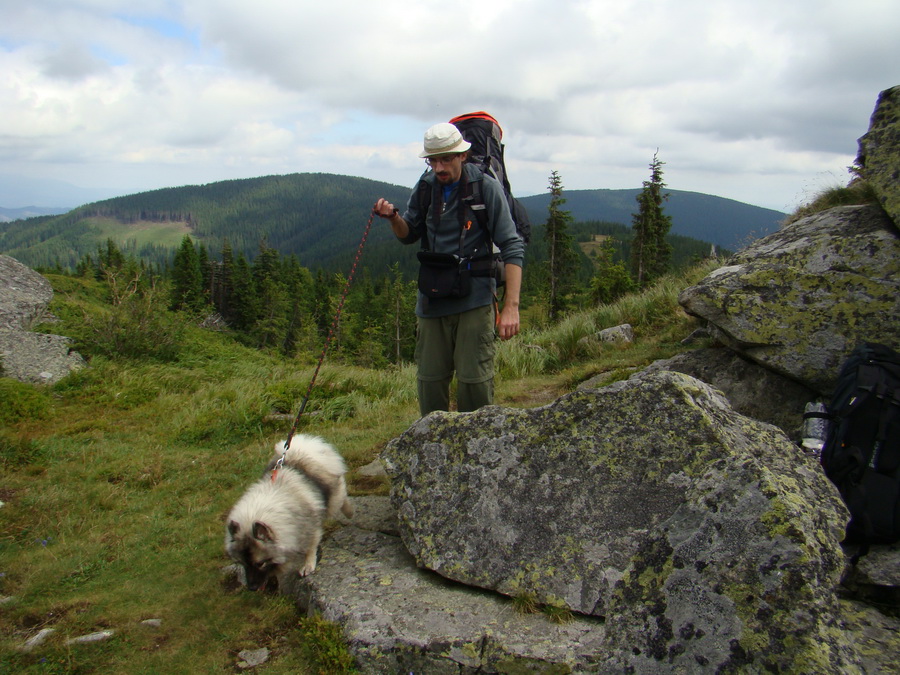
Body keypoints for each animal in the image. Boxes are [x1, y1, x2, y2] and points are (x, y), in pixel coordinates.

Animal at [223, 434, 354, 592]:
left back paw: (349, 512)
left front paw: (307, 565)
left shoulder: (310, 527)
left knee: (341, 496)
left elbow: (310, 547)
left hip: (333, 495)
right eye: (242, 563)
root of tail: (303, 448)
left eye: (260, 563)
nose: (252, 588)